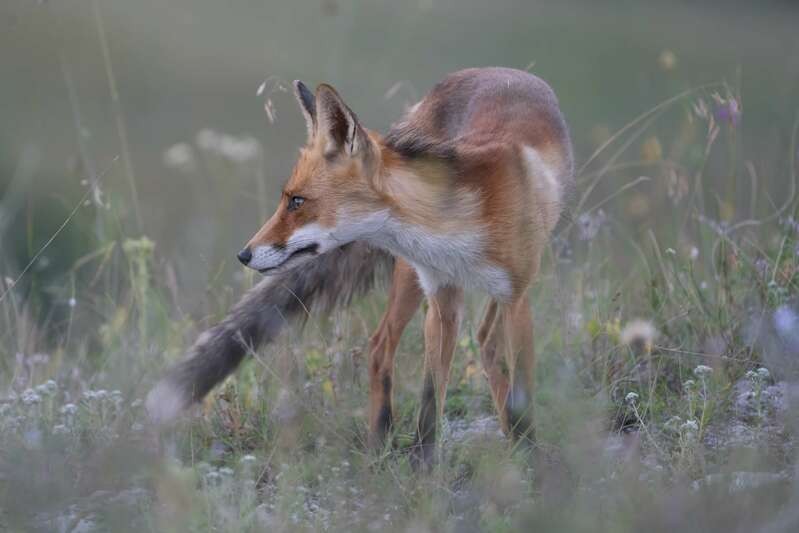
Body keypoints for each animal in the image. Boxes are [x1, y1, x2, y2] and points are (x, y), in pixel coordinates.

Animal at [147, 69, 572, 462]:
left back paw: (510, 433)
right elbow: (429, 403)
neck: (459, 225)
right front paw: (422, 470)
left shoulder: (516, 298)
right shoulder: (441, 296)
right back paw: (379, 441)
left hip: (489, 293)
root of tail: (489, 71)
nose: (244, 255)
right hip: (409, 276)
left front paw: (529, 453)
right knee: (383, 344)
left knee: (486, 341)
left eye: (297, 201)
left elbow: (515, 385)